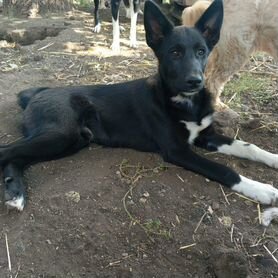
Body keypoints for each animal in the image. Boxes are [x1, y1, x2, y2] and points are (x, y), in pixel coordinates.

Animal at [0, 1, 278, 224]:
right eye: (174, 53)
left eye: (202, 51)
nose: (196, 81)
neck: (184, 102)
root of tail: (38, 93)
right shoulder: (177, 151)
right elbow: (225, 170)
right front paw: (263, 189)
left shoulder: (205, 136)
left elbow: (249, 146)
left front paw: (273, 158)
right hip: (61, 134)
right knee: (7, 152)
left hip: (74, 140)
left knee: (17, 157)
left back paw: (16, 194)